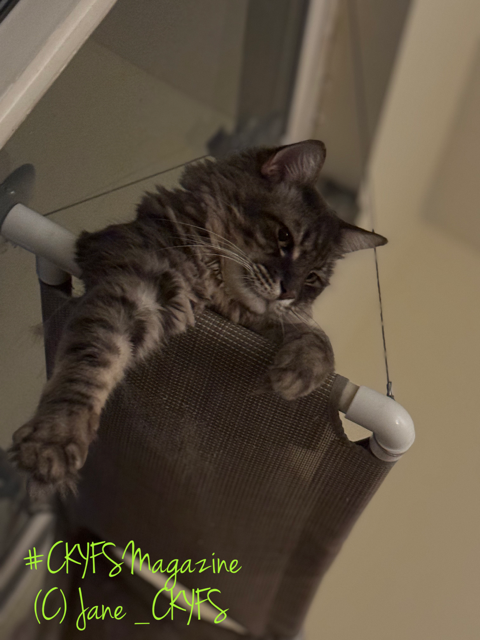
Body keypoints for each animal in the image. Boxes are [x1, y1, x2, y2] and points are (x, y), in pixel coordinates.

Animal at [10, 140, 386, 497]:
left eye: (312, 279)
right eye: (284, 237)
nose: (288, 293)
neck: (215, 292)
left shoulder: (262, 325)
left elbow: (317, 340)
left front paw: (297, 374)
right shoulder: (136, 287)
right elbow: (93, 365)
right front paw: (56, 438)